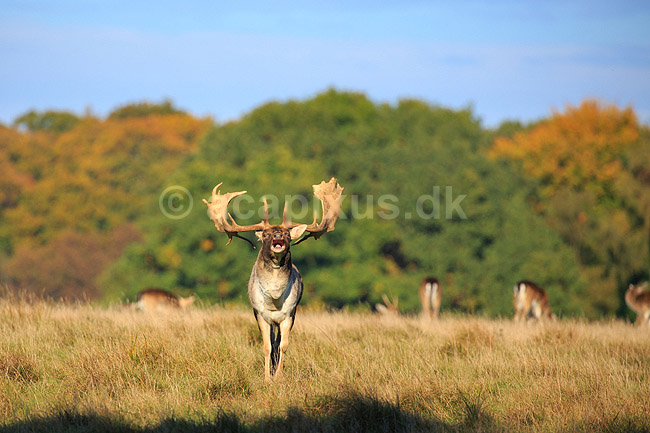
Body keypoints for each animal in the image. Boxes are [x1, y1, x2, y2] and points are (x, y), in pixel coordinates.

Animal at [203, 178, 343, 381]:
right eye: (266, 234)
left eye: (287, 234)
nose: (278, 236)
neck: (275, 297)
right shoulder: (260, 314)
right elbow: (266, 346)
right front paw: (267, 377)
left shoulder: (289, 314)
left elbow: (283, 345)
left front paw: (279, 376)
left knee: (278, 343)